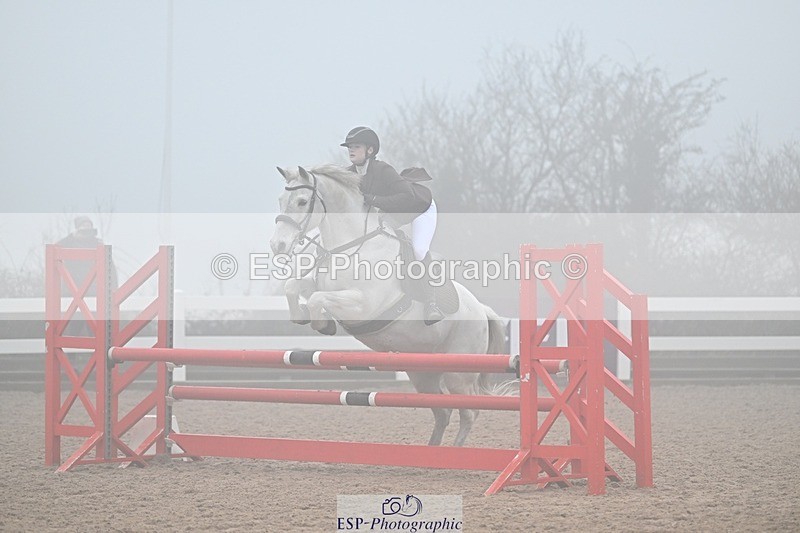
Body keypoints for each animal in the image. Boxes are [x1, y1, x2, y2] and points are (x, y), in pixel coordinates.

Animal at [269, 164, 507, 447]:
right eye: (280, 200)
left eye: (302, 201)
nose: (278, 246)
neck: (352, 246)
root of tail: (483, 310)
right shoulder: (321, 285)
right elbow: (293, 287)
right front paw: (303, 317)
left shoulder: (363, 304)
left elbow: (318, 299)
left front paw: (323, 324)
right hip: (423, 373)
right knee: (442, 411)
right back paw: (431, 451)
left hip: (458, 373)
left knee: (469, 411)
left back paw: (455, 452)